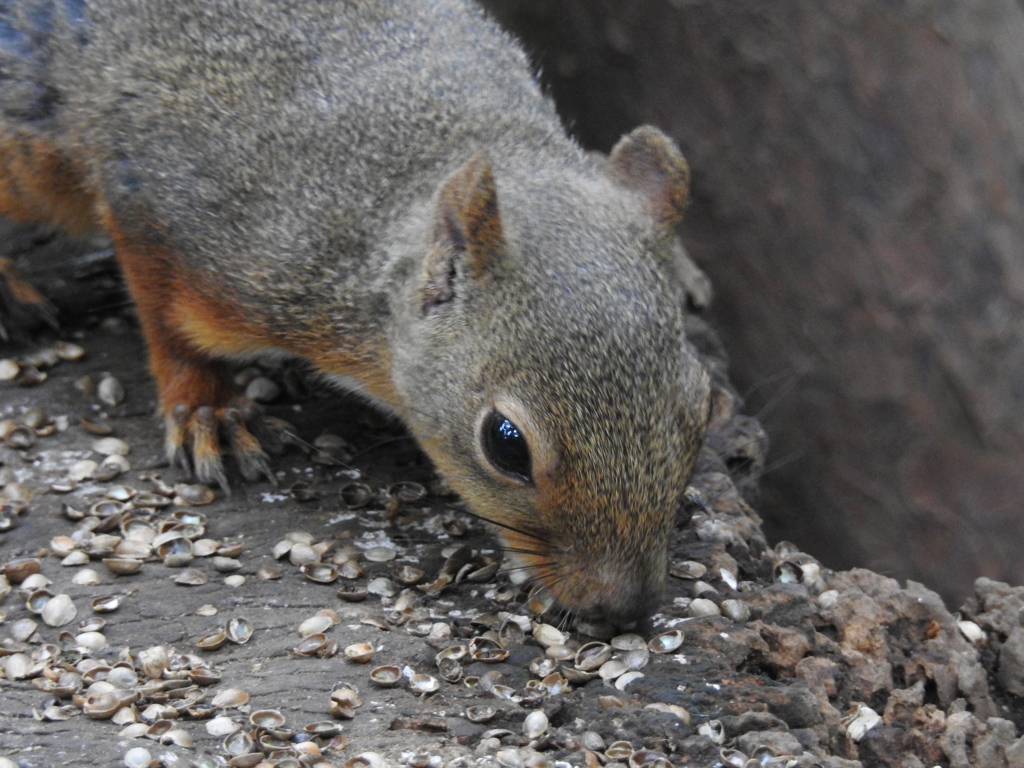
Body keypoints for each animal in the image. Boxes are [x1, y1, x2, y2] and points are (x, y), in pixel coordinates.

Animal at [0, 0, 712, 626]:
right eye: (505, 443)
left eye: (704, 407)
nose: (623, 609)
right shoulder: (180, 218)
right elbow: (173, 329)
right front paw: (209, 411)